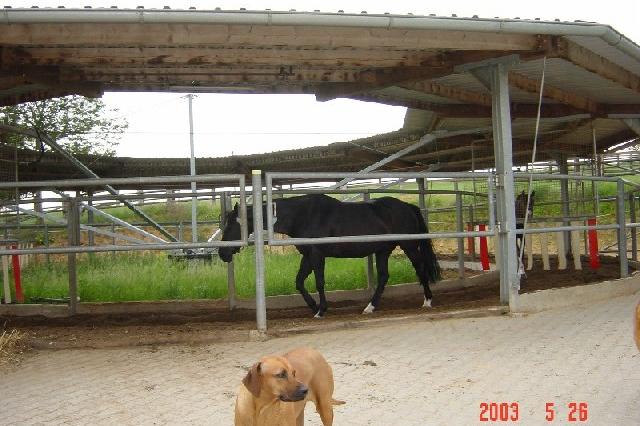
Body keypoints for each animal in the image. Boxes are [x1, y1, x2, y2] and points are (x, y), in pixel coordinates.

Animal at [219, 195, 440, 318]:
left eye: (230, 226)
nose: (223, 253)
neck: (303, 215)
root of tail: (407, 206)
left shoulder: (317, 255)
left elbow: (319, 282)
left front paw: (321, 310)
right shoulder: (307, 256)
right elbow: (299, 282)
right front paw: (313, 306)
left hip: (408, 246)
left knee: (420, 268)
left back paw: (427, 301)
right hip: (382, 251)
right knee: (384, 277)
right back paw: (370, 307)